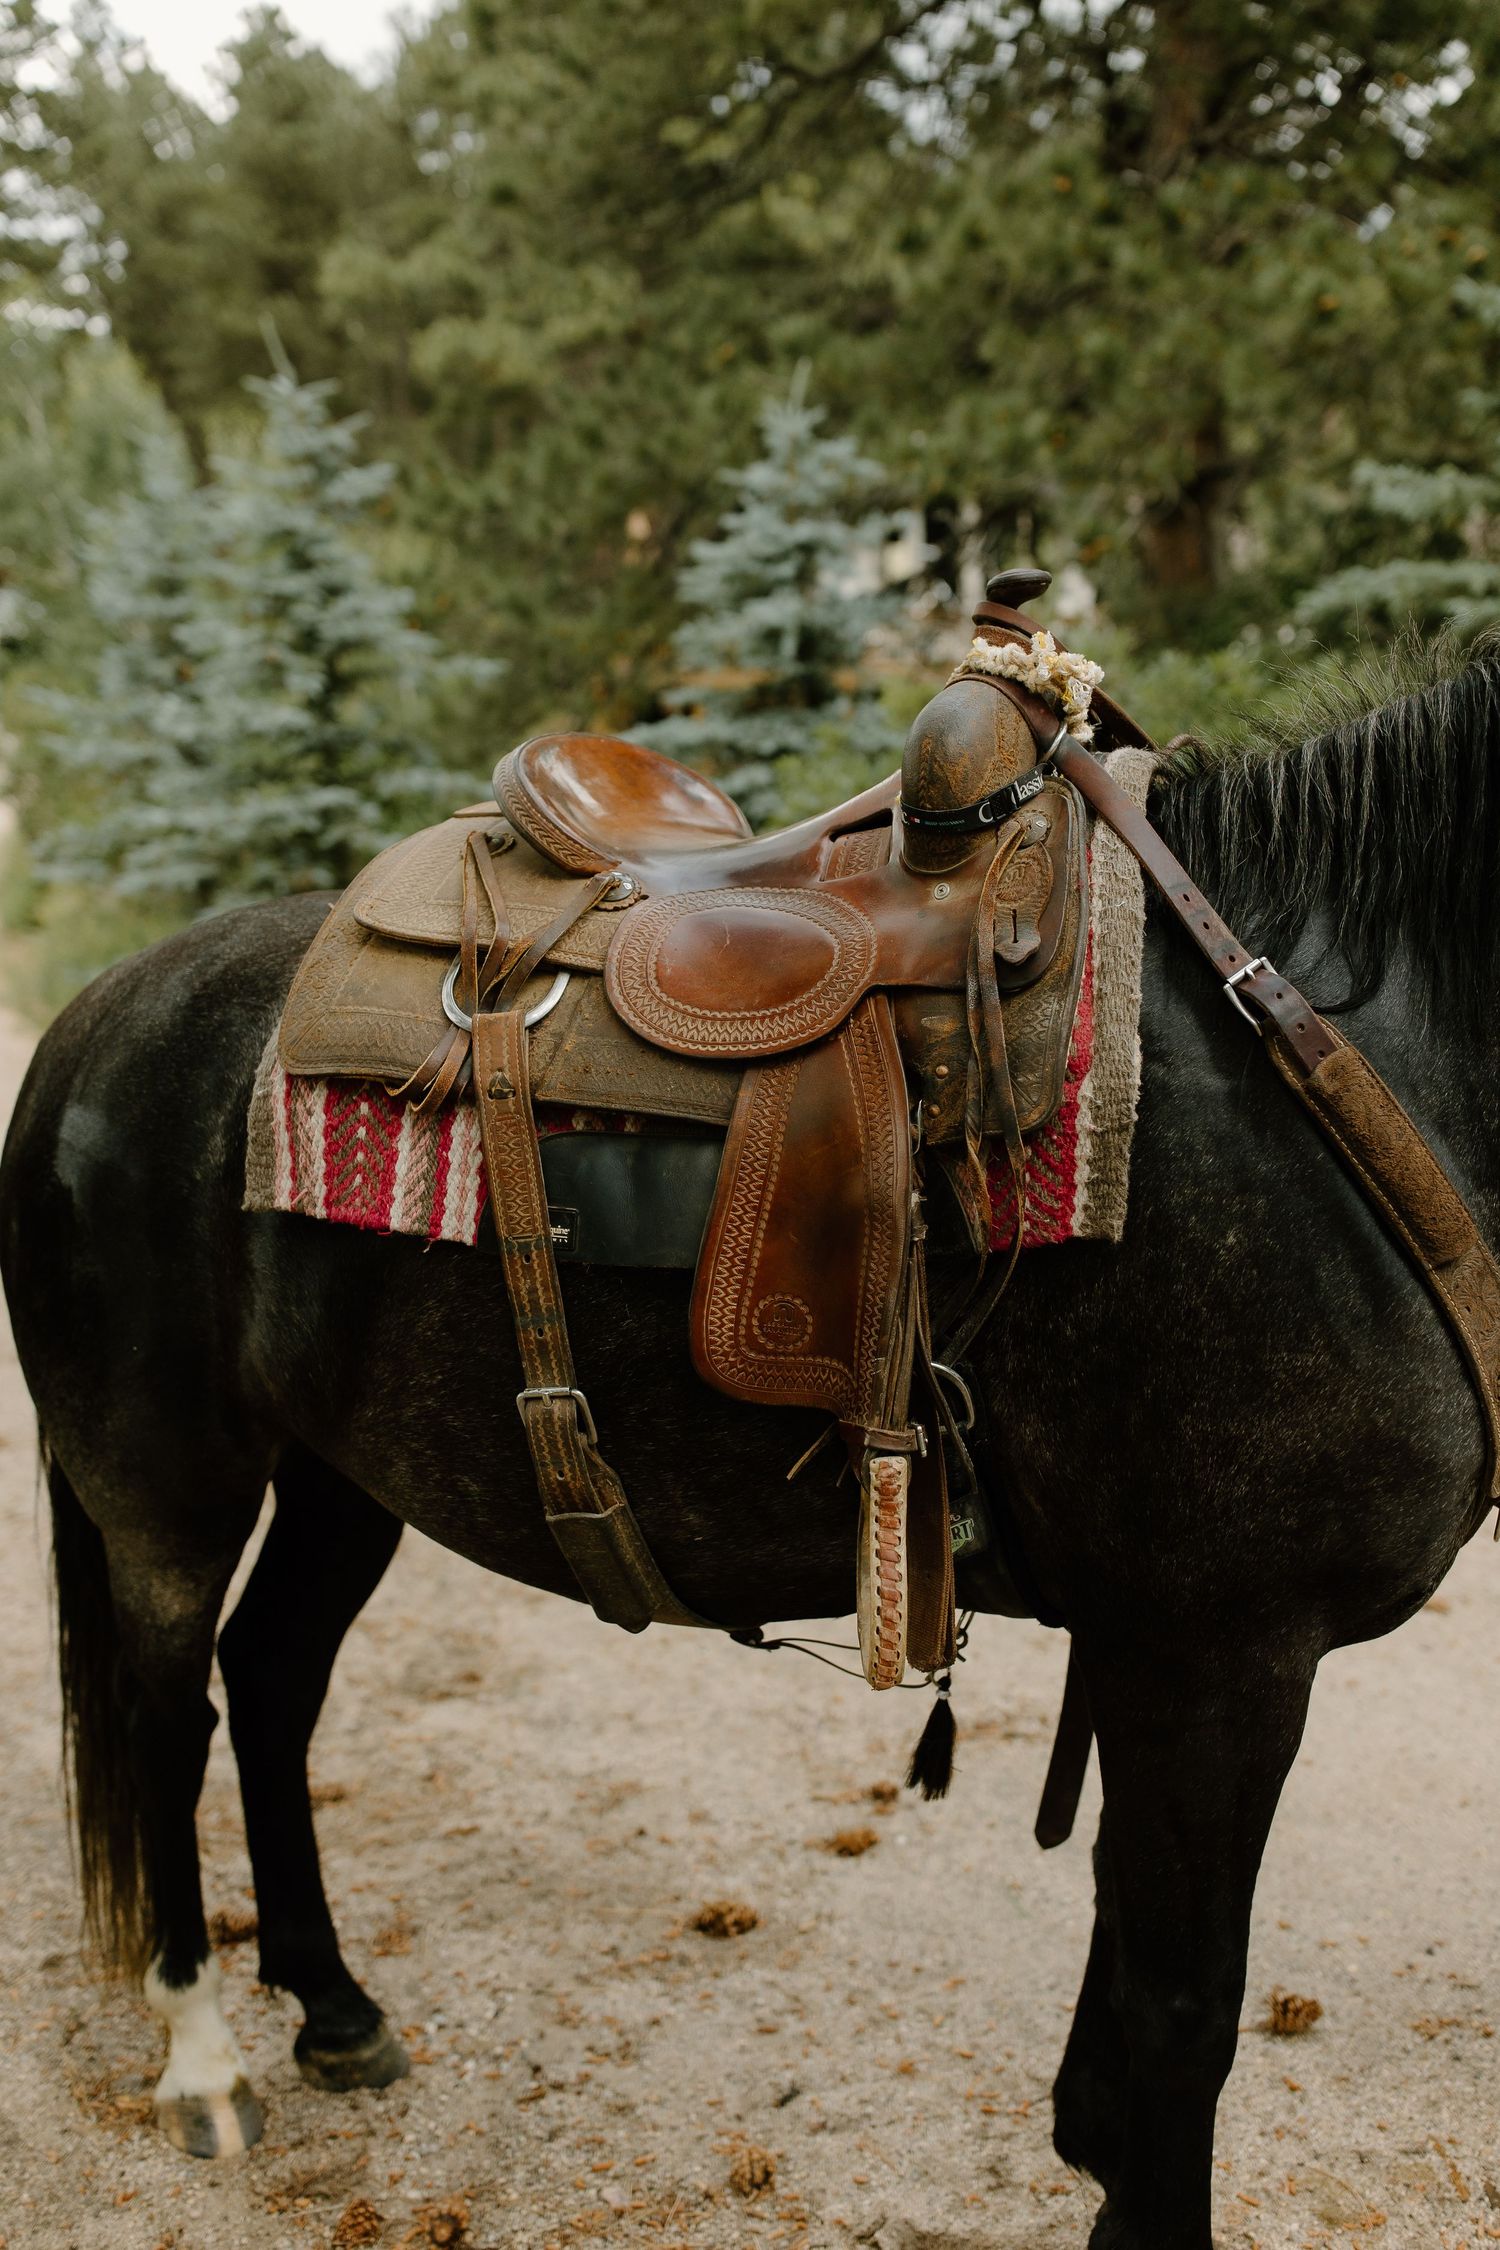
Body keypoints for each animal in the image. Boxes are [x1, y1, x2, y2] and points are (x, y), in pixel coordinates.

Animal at [2, 639, 1495, 2249]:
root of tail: (95, 1014)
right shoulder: (1217, 1650)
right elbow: (1180, 2018)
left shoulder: (1159, 1649)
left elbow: (1129, 2012)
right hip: (164, 1480)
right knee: (167, 1712)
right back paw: (204, 2061)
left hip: (344, 1472)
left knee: (272, 1679)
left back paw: (335, 2010)